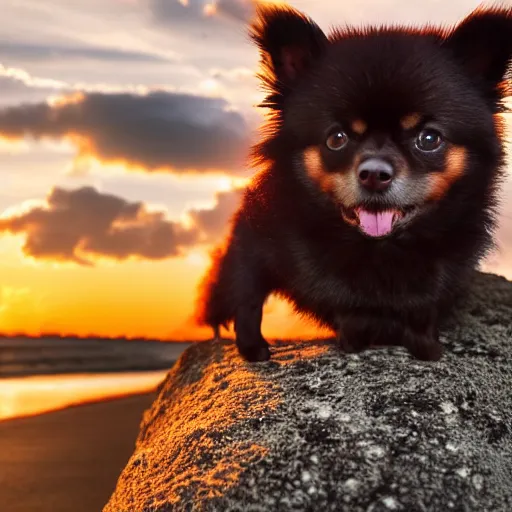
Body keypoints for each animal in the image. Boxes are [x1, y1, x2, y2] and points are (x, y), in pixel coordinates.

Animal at [195, 4, 512, 364]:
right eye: (336, 138)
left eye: (429, 138)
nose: (374, 173)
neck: (381, 249)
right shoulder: (257, 239)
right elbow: (249, 297)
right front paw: (257, 347)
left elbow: (423, 308)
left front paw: (425, 345)